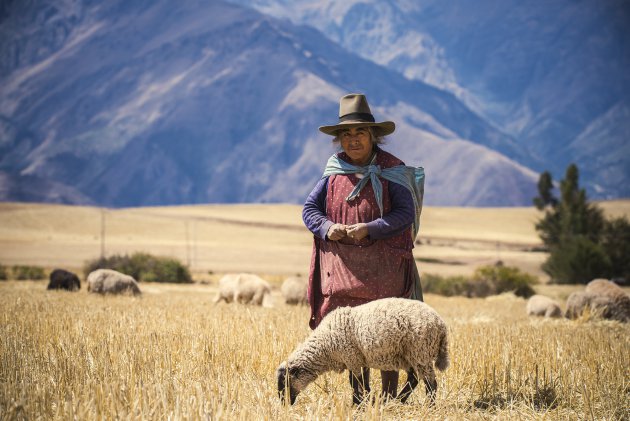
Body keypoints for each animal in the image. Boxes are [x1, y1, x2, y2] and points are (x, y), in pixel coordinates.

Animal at [276, 296, 450, 406]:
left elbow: (355, 383)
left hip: (420, 352)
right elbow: (363, 383)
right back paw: (398, 401)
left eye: (284, 382)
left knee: (431, 383)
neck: (324, 347)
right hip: (410, 356)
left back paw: (429, 407)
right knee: (413, 379)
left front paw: (357, 404)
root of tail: (441, 324)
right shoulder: (359, 359)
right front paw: (365, 401)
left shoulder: (351, 357)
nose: (284, 404)